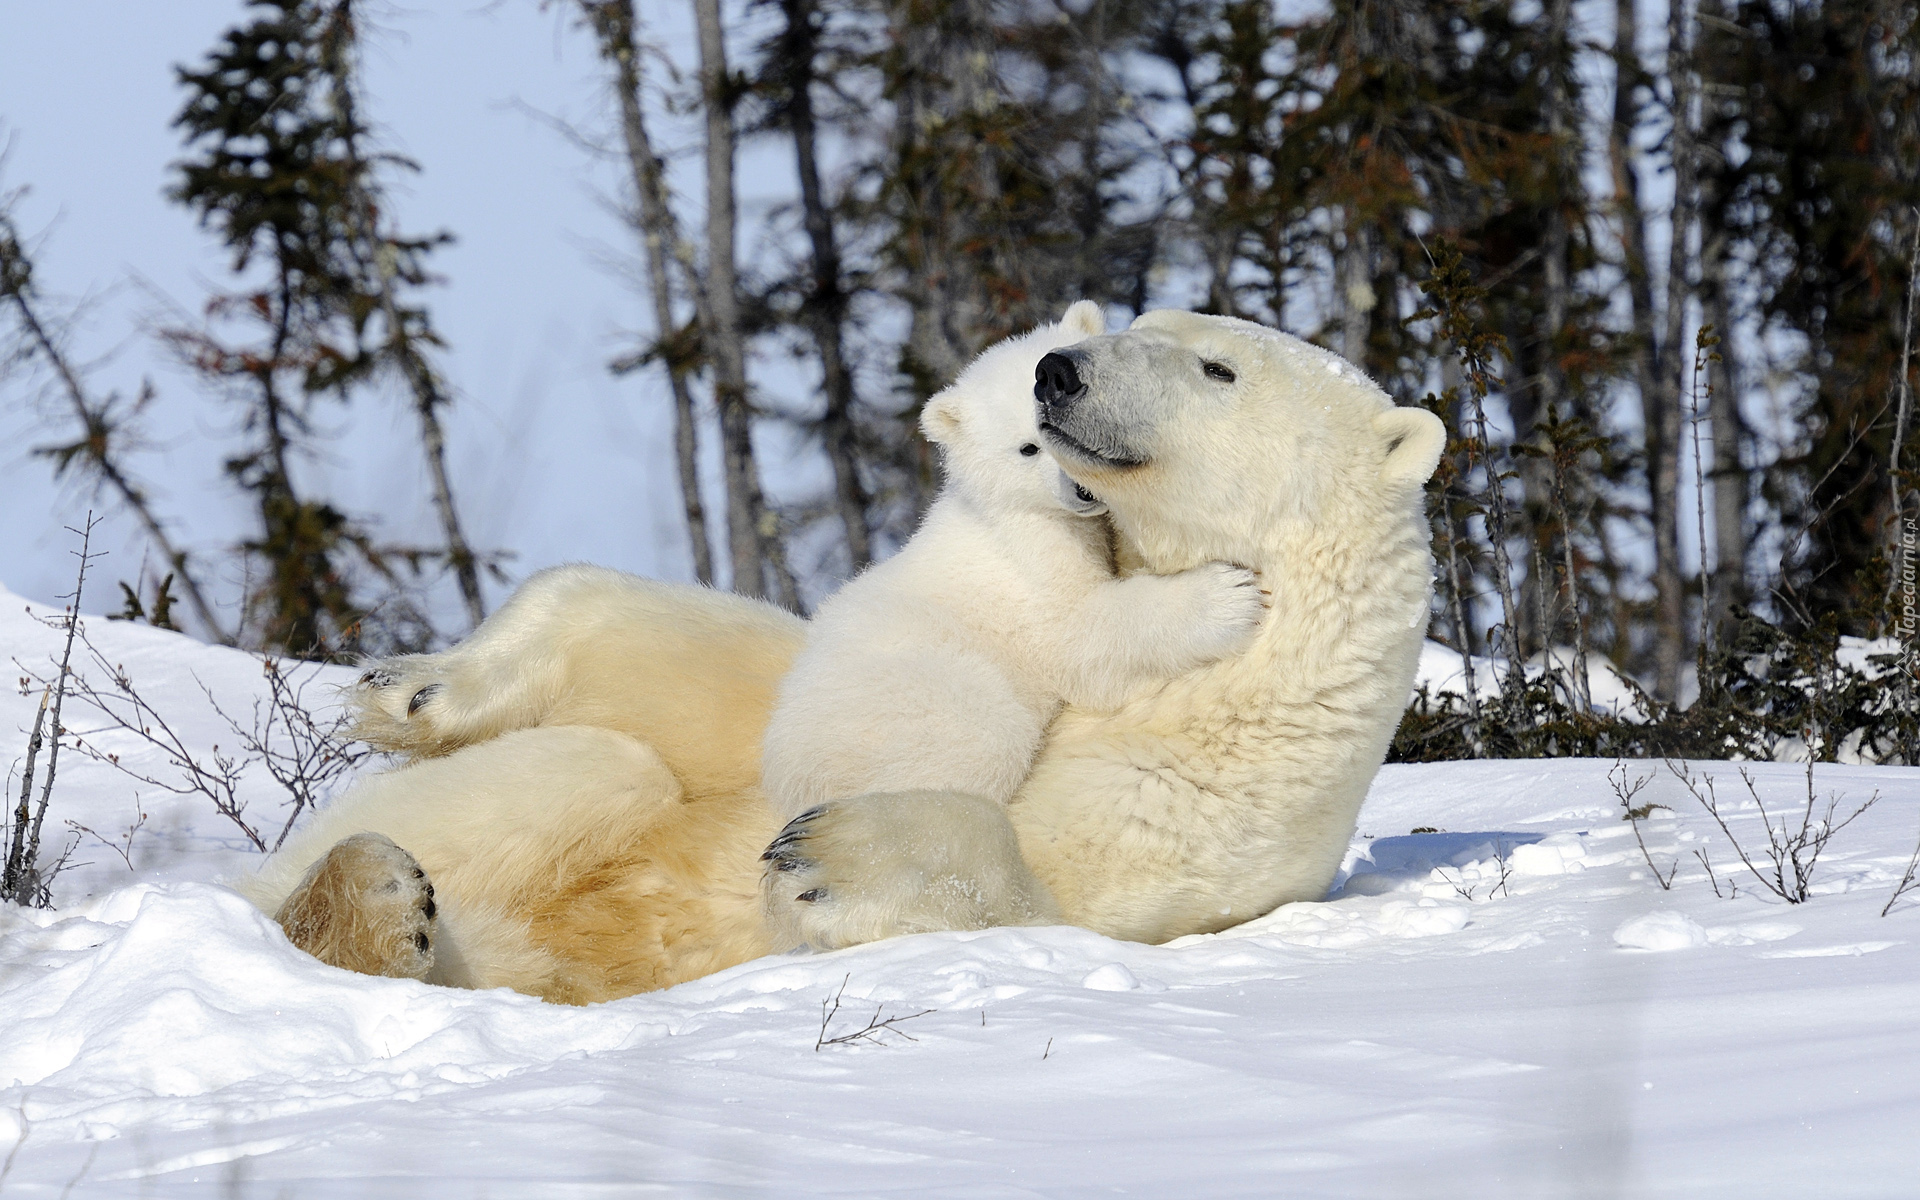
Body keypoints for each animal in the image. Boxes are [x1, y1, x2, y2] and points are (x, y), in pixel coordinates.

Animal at [756, 299, 1267, 821]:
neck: (1006, 506)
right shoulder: (1030, 554)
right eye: (1029, 448)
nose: (1082, 490)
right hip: (926, 702)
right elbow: (1076, 631)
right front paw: (1227, 596)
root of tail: (789, 778)